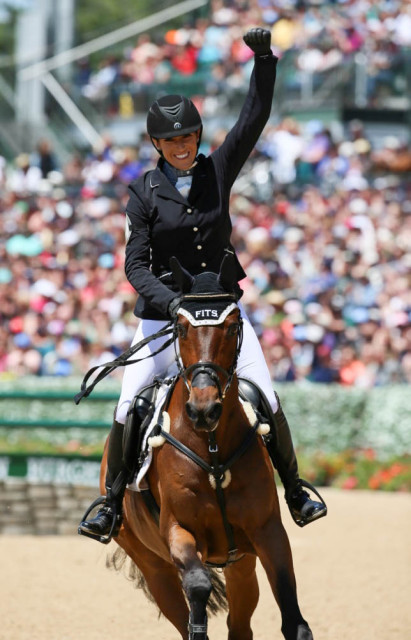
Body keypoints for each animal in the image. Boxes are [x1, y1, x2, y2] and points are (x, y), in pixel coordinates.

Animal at [98, 256, 314, 640]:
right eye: (181, 329)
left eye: (231, 327)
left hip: (241, 562)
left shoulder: (268, 532)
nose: (204, 410)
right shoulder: (178, 530)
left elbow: (292, 613)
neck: (211, 446)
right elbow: (198, 585)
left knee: (240, 625)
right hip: (153, 565)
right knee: (180, 601)